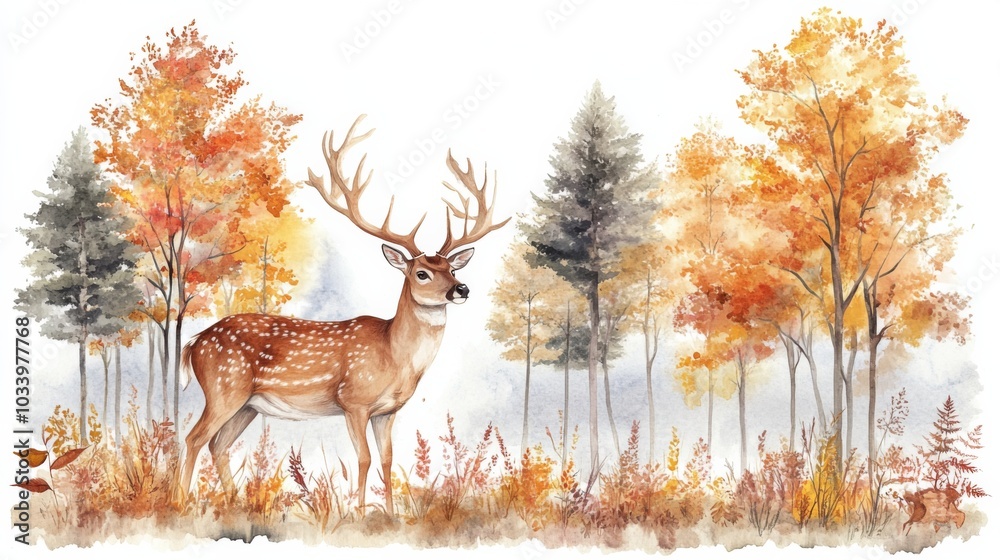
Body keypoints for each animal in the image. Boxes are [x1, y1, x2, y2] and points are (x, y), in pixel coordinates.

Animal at [176, 114, 509, 516]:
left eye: (452, 268)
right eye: (421, 273)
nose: (461, 289)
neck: (394, 356)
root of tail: (195, 342)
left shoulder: (387, 411)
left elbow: (387, 460)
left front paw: (391, 515)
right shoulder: (353, 400)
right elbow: (364, 458)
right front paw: (359, 513)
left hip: (247, 405)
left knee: (218, 444)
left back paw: (238, 503)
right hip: (224, 386)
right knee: (194, 438)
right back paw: (178, 501)